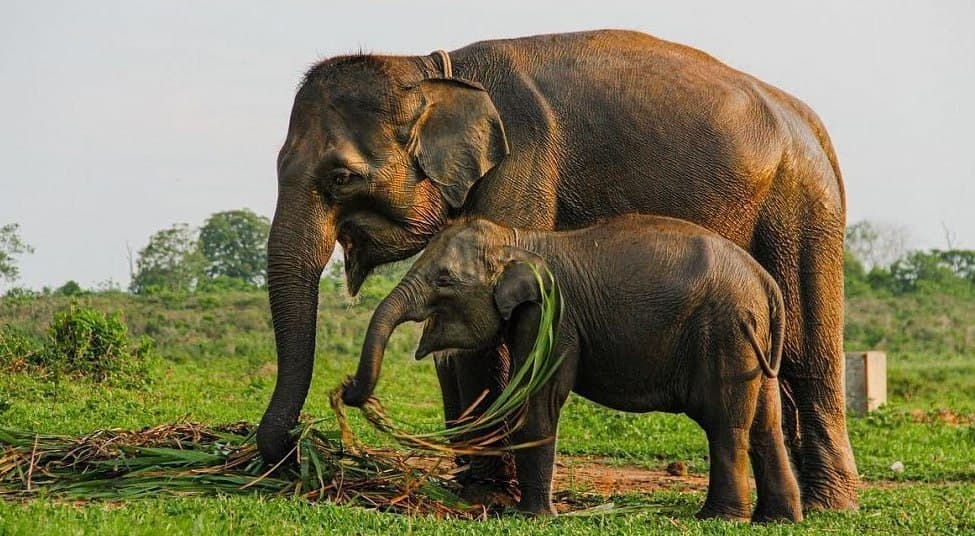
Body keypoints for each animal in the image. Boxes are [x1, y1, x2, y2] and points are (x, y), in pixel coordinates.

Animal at [341, 215, 803, 522]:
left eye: (444, 280)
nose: (346, 388)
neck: (517, 240)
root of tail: (767, 283)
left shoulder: (553, 315)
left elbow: (540, 399)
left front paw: (531, 516)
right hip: (751, 339)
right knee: (765, 423)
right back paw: (777, 519)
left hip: (726, 332)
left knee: (726, 424)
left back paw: (719, 518)